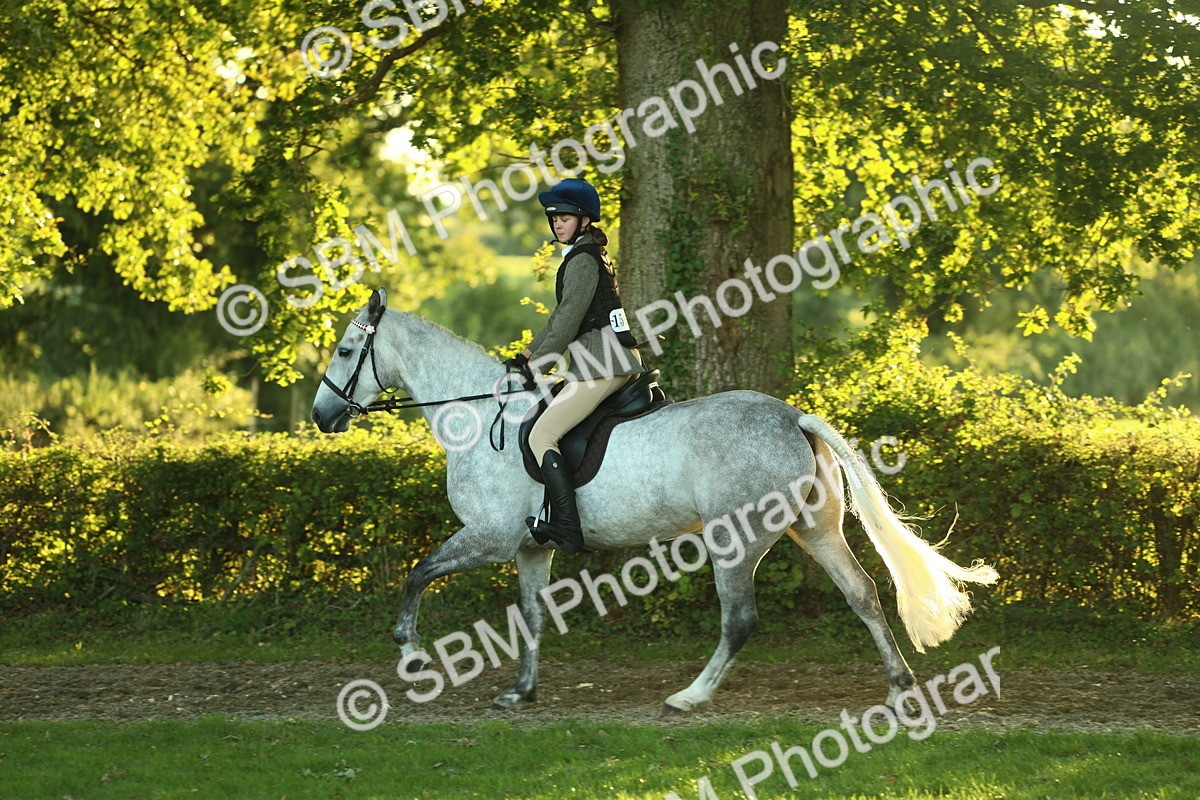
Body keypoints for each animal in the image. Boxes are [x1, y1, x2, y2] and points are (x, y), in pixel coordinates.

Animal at [310, 288, 998, 713]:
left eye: (345, 350)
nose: (321, 416)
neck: (479, 417)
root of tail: (791, 416)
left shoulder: (489, 537)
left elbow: (418, 573)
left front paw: (411, 654)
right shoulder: (530, 549)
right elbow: (530, 617)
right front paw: (521, 692)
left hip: (734, 540)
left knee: (740, 619)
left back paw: (690, 697)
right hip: (816, 529)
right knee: (863, 594)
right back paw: (900, 685)